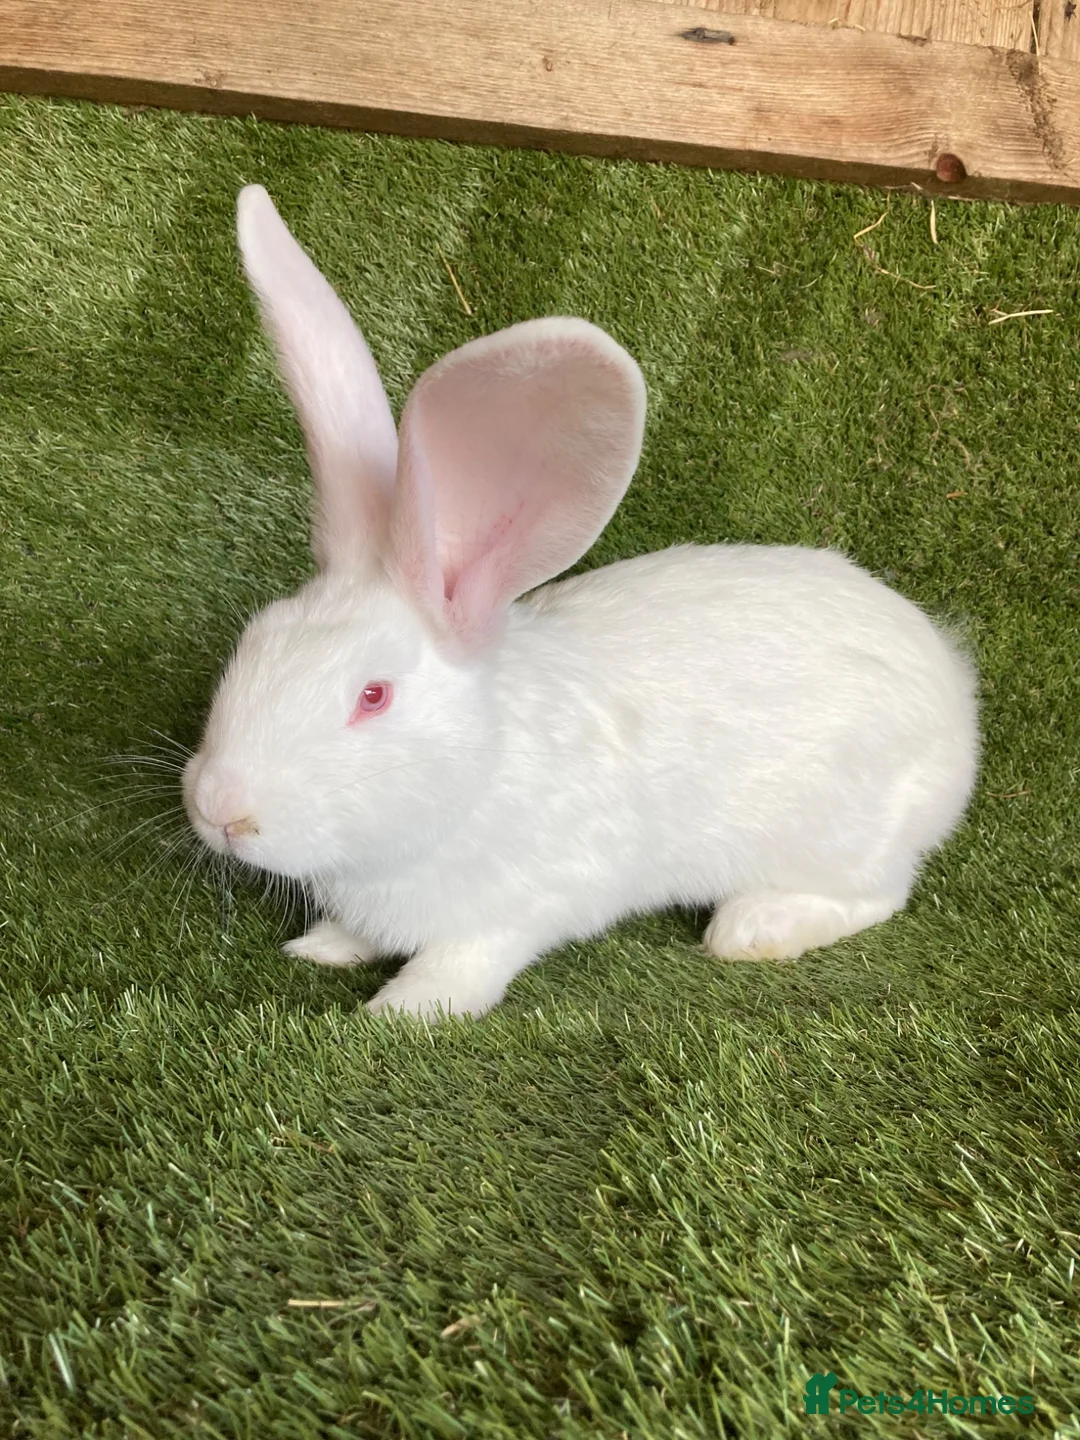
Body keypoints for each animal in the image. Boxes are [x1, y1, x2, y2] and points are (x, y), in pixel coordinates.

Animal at [182, 185, 979, 1021]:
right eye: (253, 642)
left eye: (373, 696)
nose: (220, 809)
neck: (480, 769)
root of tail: (953, 694)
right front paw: (323, 947)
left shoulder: (515, 910)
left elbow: (456, 969)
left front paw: (397, 1014)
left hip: (841, 836)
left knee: (881, 893)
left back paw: (753, 927)